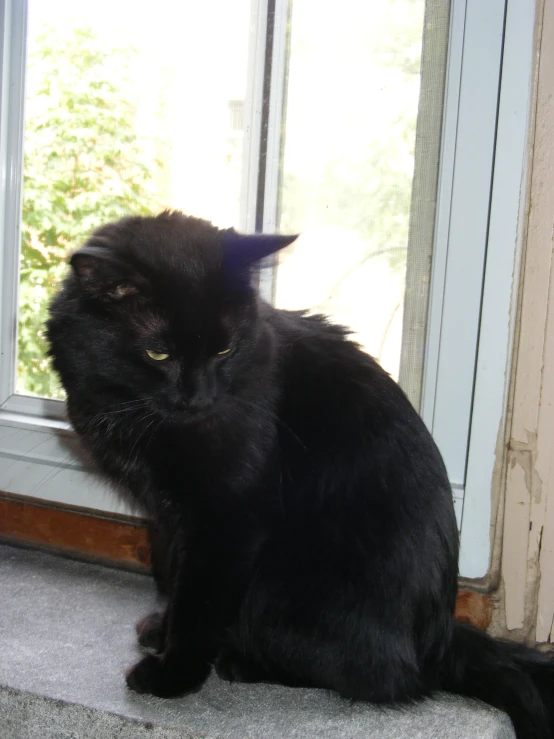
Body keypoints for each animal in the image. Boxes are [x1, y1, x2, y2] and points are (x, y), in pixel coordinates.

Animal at [46, 211, 552, 736]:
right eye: (159, 354)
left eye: (225, 350)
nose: (200, 396)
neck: (132, 408)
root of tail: (441, 641)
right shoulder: (171, 518)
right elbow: (177, 578)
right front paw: (163, 633)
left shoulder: (225, 523)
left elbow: (198, 600)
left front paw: (172, 674)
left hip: (281, 588)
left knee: (375, 678)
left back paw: (240, 661)